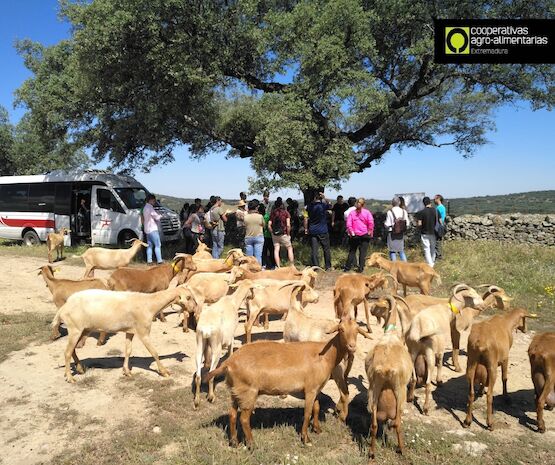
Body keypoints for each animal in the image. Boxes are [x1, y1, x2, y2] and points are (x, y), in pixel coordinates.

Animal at [204, 320, 370, 446]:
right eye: (341, 329)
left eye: (357, 330)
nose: (352, 346)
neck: (326, 355)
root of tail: (228, 363)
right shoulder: (310, 389)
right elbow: (307, 413)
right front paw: (305, 438)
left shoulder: (315, 388)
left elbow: (316, 408)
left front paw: (317, 429)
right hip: (248, 392)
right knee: (244, 419)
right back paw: (251, 444)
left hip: (235, 390)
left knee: (232, 415)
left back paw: (234, 442)